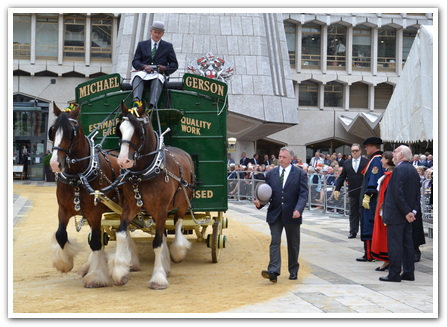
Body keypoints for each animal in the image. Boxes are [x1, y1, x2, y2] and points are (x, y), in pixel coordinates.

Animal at [111, 102, 194, 290]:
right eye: (120, 129)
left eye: (138, 131)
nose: (123, 161)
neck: (144, 172)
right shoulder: (131, 206)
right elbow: (121, 233)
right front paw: (120, 272)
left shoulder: (161, 208)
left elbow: (157, 243)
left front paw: (158, 278)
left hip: (183, 202)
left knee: (178, 221)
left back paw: (177, 251)